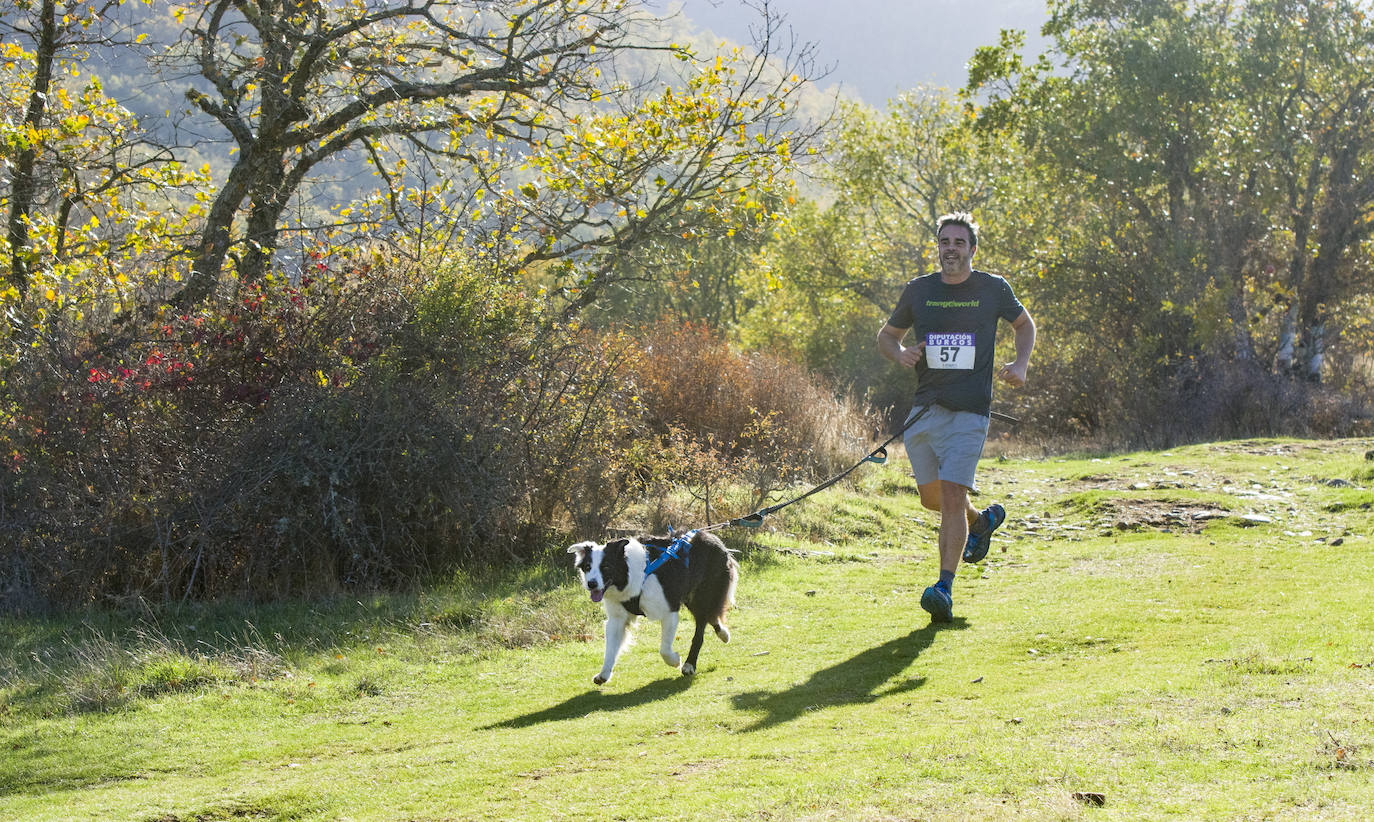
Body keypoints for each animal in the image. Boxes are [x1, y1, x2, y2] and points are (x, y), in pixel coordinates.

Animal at [568, 530, 741, 687]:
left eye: (606, 567)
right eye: (587, 567)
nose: (591, 584)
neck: (631, 575)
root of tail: (714, 538)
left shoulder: (669, 610)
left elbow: (664, 649)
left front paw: (675, 661)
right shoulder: (617, 618)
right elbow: (610, 650)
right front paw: (603, 674)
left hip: (703, 594)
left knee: (700, 629)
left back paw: (689, 664)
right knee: (710, 616)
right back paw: (723, 634)